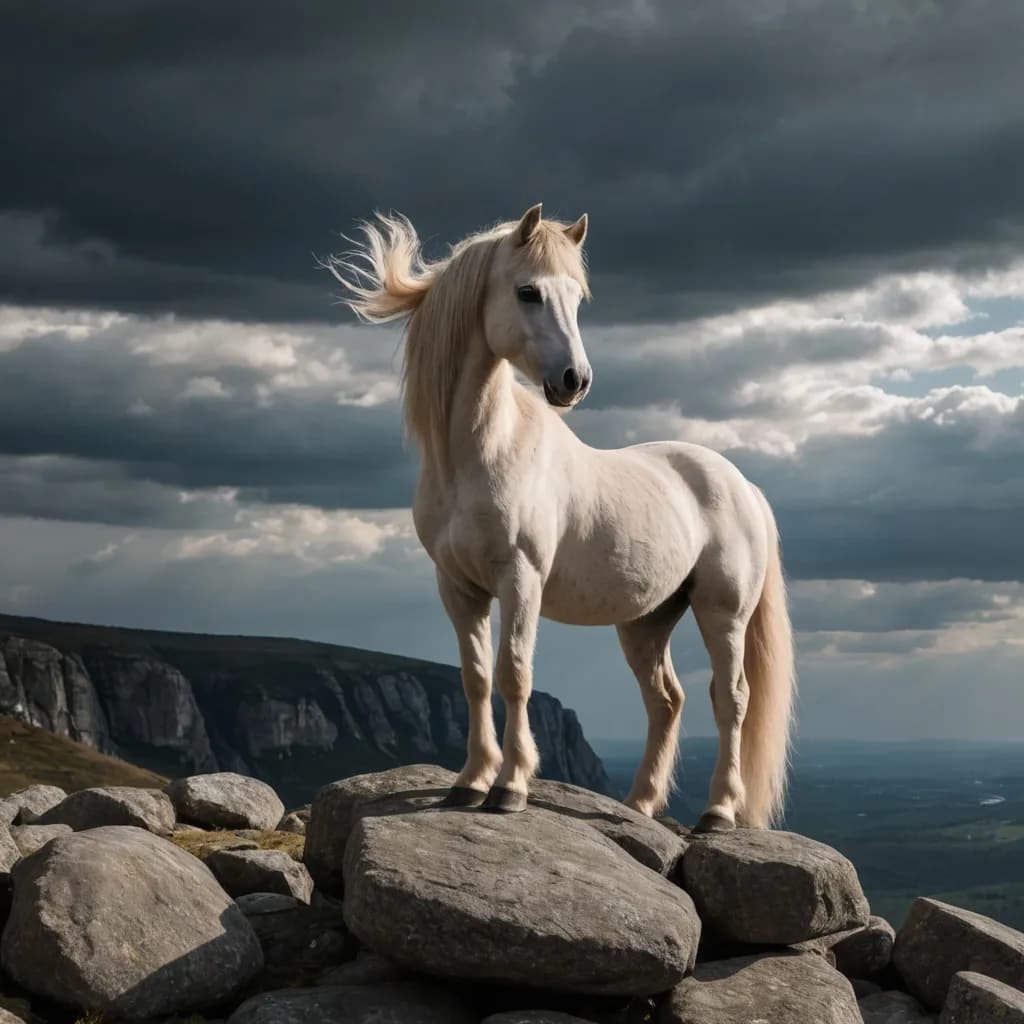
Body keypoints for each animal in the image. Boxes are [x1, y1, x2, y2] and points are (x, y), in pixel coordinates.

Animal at [329, 203, 796, 832]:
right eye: (527, 291)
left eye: (577, 298)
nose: (575, 381)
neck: (484, 454)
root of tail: (741, 484)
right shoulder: (458, 587)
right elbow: (475, 677)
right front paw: (469, 781)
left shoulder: (520, 579)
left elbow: (514, 673)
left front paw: (509, 787)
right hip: (647, 621)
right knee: (666, 700)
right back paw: (639, 805)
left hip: (723, 612)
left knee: (731, 698)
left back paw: (719, 812)